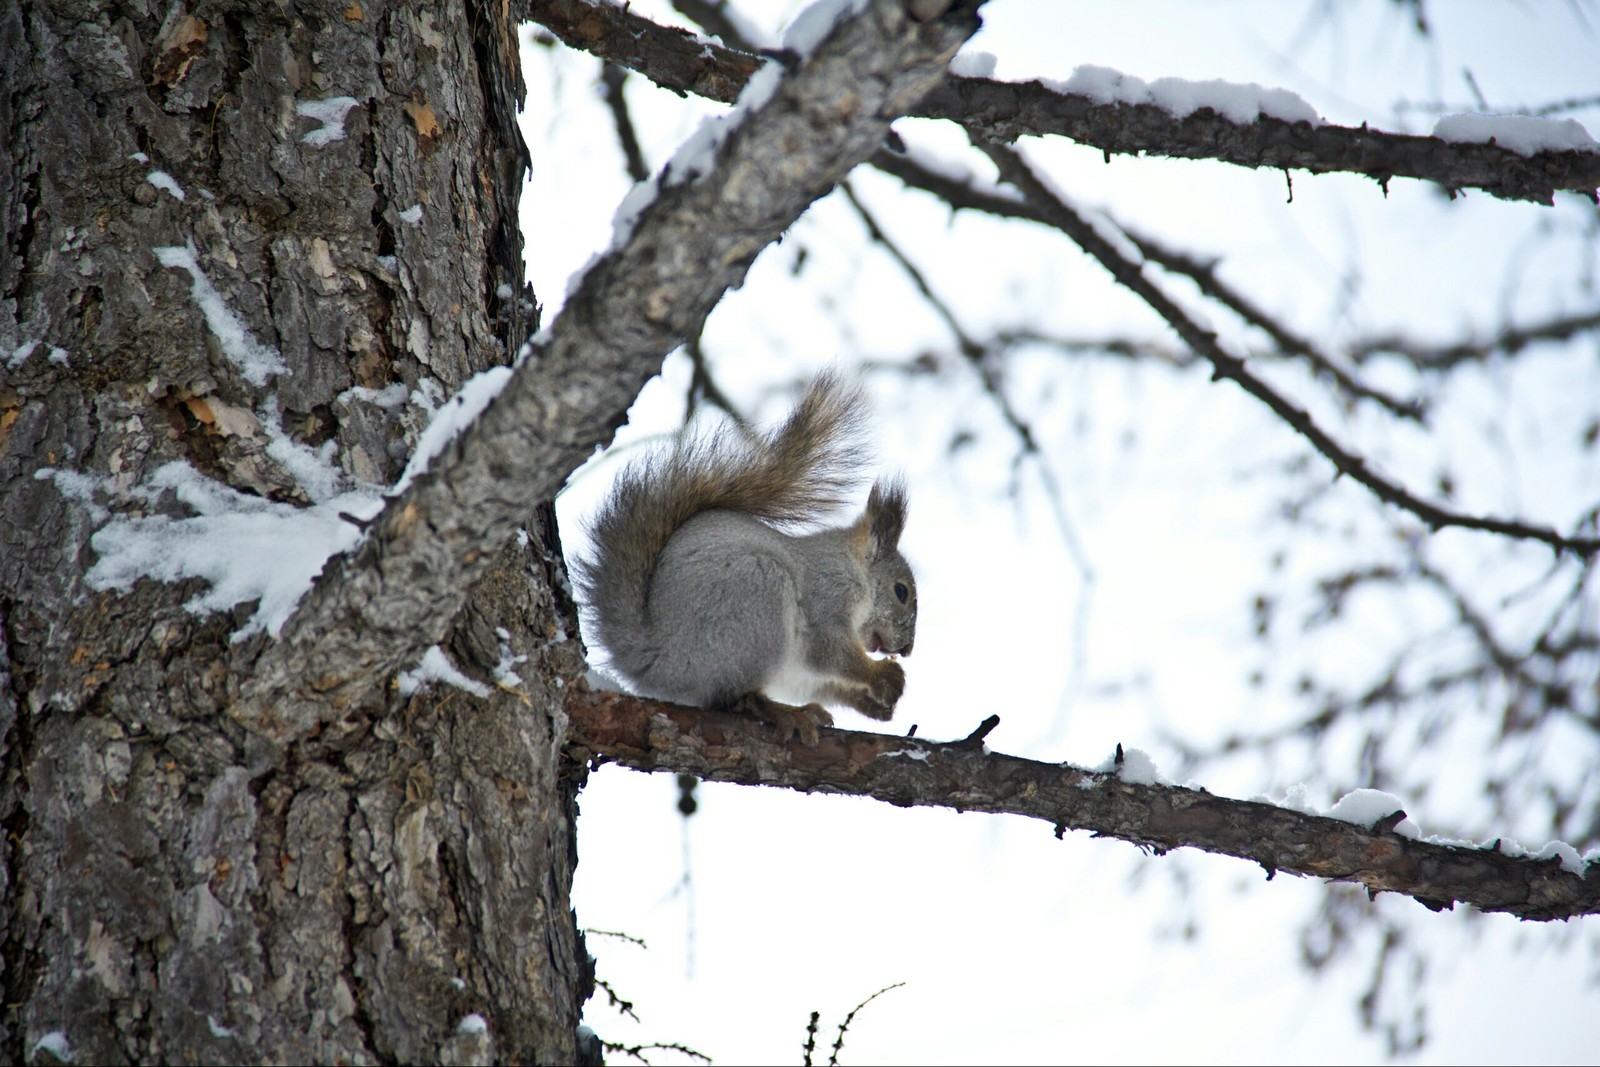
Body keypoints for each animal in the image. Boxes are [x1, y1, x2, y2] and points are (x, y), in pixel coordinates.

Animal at [579, 371, 921, 748]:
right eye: (901, 591)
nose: (907, 649)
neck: (853, 567)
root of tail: (655, 660)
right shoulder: (828, 594)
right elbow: (828, 649)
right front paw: (882, 676)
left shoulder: (799, 669)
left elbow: (819, 678)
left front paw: (872, 702)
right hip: (756, 600)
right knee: (735, 696)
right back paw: (784, 712)